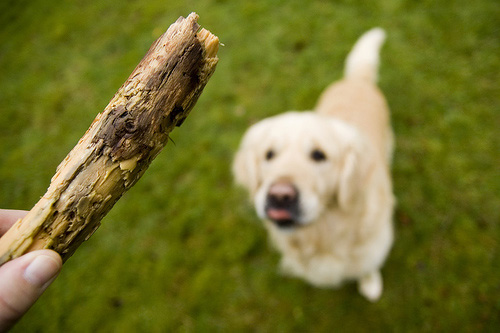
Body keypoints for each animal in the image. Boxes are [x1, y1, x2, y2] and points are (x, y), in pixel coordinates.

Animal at [233, 27, 394, 300]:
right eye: (269, 155)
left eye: (319, 155)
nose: (280, 196)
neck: (322, 234)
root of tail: (357, 81)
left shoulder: (374, 242)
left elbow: (367, 264)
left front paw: (370, 283)